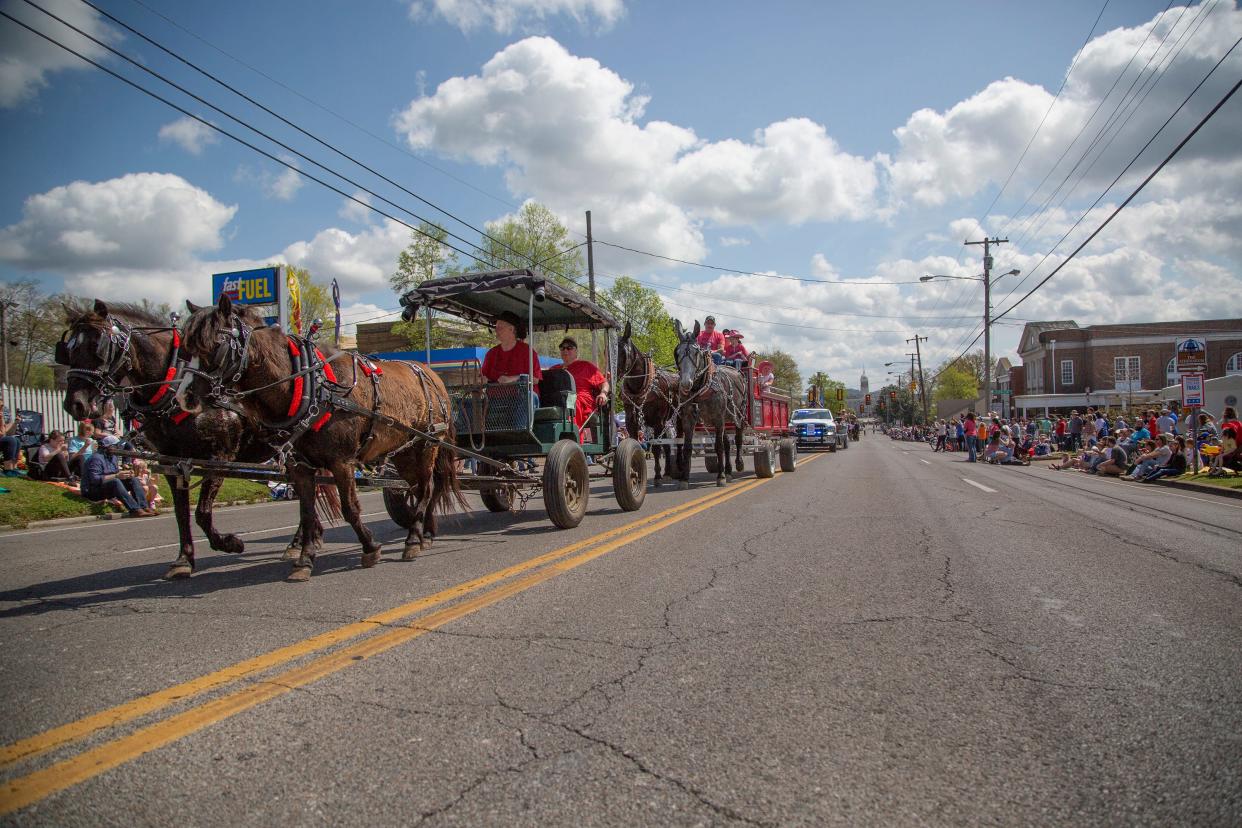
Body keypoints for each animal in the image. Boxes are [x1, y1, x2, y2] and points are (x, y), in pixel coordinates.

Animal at [57, 301, 330, 580]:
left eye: (98, 347)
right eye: (68, 350)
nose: (75, 404)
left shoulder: (220, 457)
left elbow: (202, 512)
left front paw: (230, 543)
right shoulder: (173, 462)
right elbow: (181, 513)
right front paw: (183, 560)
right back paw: (301, 541)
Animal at [177, 296, 464, 583]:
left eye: (214, 344)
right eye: (183, 351)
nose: (183, 397)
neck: (313, 387)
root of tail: (431, 375)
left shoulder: (342, 462)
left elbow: (350, 508)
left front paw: (370, 548)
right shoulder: (299, 466)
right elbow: (307, 512)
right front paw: (304, 559)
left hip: (427, 444)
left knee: (427, 488)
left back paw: (414, 539)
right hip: (405, 451)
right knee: (420, 488)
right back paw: (425, 533)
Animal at [611, 320, 680, 486]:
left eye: (623, 352)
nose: (613, 374)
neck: (640, 388)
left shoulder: (657, 421)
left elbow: (656, 449)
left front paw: (657, 476)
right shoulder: (631, 420)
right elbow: (637, 443)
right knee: (667, 446)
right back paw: (668, 472)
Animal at [670, 320, 745, 489]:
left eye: (696, 353)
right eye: (677, 353)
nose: (686, 383)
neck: (701, 387)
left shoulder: (718, 418)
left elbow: (718, 446)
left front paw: (720, 477)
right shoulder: (688, 418)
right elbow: (687, 447)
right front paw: (684, 478)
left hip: (738, 415)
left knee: (737, 438)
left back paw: (738, 464)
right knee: (727, 443)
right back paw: (728, 470)